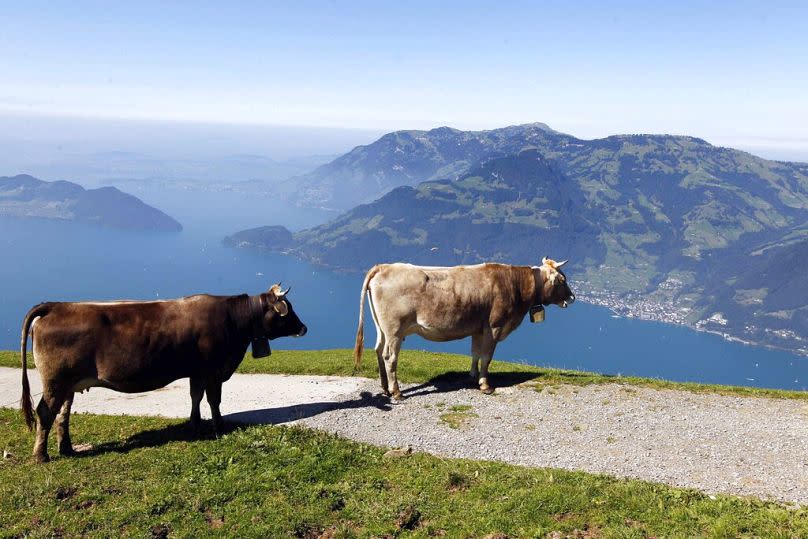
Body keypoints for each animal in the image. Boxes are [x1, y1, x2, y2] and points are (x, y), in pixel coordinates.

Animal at [22, 284, 308, 462]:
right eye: (288, 310)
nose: (304, 327)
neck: (234, 322)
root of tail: (55, 306)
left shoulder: (197, 371)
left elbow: (196, 397)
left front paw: (194, 424)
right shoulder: (214, 369)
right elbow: (214, 400)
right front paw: (218, 426)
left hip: (68, 384)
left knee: (63, 414)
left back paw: (67, 449)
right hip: (55, 381)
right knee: (45, 412)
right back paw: (41, 456)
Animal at [354, 258, 576, 400]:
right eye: (562, 280)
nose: (572, 297)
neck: (515, 285)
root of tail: (383, 267)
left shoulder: (478, 328)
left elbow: (475, 353)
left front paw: (472, 377)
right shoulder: (495, 326)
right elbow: (487, 357)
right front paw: (485, 385)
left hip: (382, 328)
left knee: (377, 350)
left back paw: (385, 388)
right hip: (395, 329)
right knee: (389, 357)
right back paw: (397, 392)